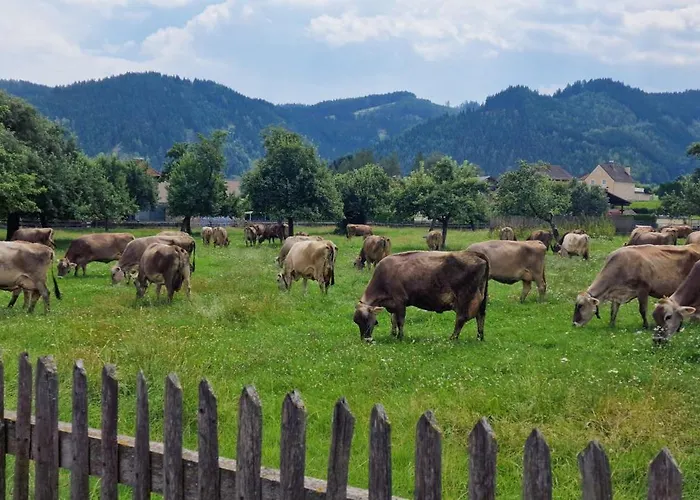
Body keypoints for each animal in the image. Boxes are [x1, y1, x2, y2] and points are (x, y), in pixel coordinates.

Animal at [352, 250, 489, 342]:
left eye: (366, 319)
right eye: (356, 322)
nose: (366, 340)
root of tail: (474, 253)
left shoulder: (400, 301)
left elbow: (400, 320)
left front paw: (400, 337)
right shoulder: (393, 305)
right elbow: (393, 320)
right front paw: (393, 334)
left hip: (464, 298)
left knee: (461, 318)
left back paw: (452, 338)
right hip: (480, 299)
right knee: (480, 316)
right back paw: (480, 337)